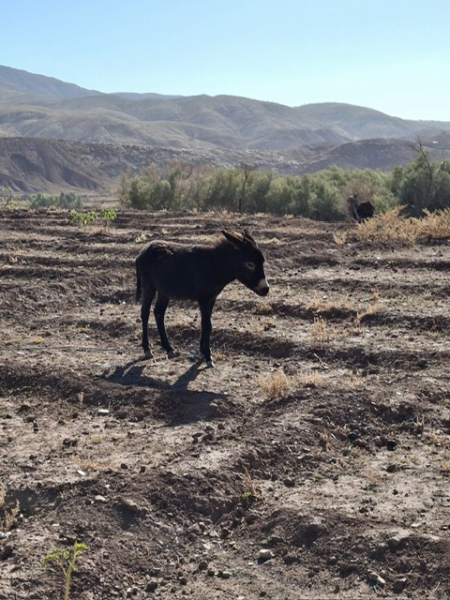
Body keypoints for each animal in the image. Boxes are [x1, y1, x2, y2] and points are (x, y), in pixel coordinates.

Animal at [135, 229, 269, 368]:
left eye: (262, 262)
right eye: (250, 264)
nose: (266, 289)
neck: (215, 265)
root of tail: (143, 251)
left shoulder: (211, 299)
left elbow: (206, 323)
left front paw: (203, 350)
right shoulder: (203, 299)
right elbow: (207, 324)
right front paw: (208, 357)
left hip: (164, 291)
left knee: (159, 313)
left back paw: (169, 349)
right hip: (149, 286)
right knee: (145, 313)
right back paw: (147, 349)